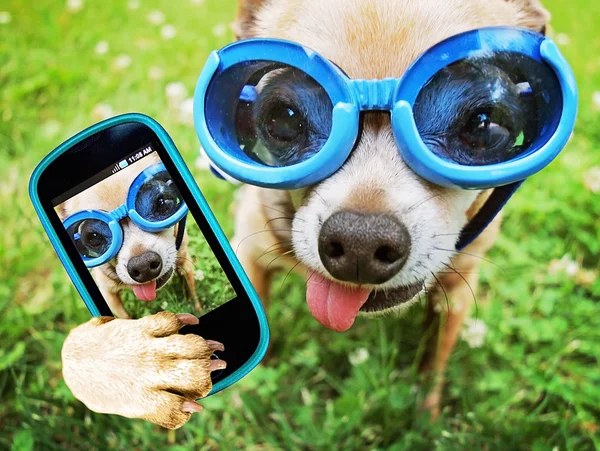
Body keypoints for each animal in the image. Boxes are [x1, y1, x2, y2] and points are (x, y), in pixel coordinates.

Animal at [56, 154, 198, 320]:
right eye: (94, 237)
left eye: (162, 203)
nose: (143, 265)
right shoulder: (108, 294)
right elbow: (124, 317)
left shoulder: (185, 263)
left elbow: (192, 294)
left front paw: (197, 309)